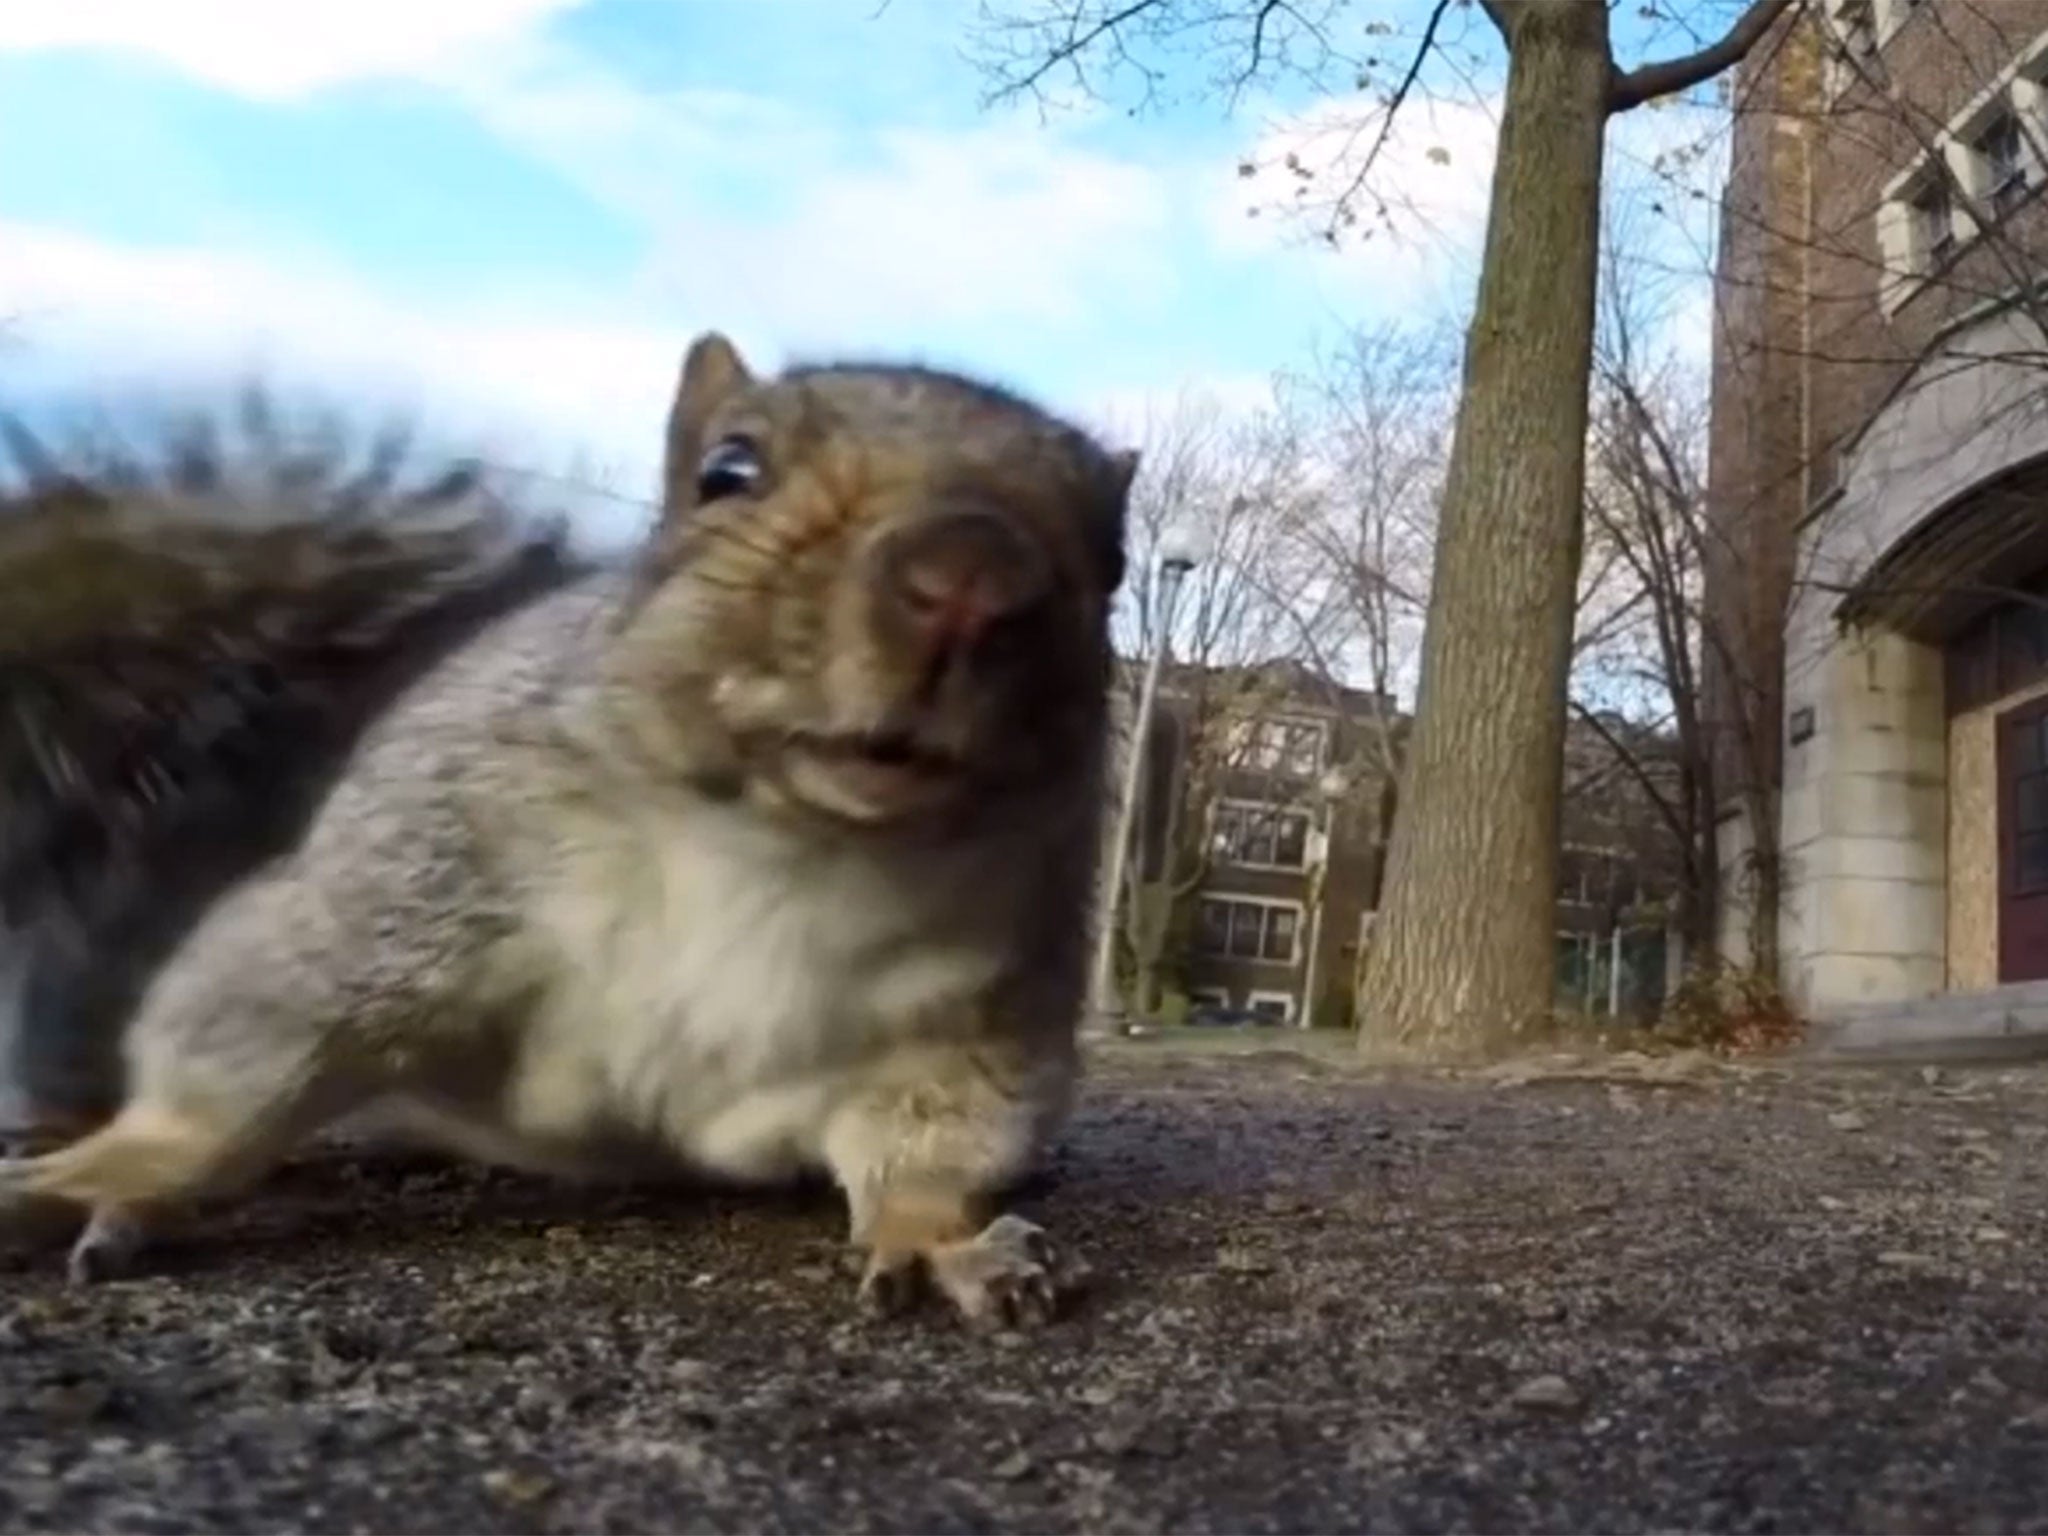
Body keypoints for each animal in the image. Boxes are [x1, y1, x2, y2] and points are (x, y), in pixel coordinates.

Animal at [0, 335, 1138, 1335]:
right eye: (727, 470)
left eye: (1116, 557)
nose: (971, 576)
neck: (800, 850)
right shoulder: (390, 905)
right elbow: (229, 1078)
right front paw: (111, 1176)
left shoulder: (964, 1024)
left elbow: (934, 1145)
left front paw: (946, 1240)